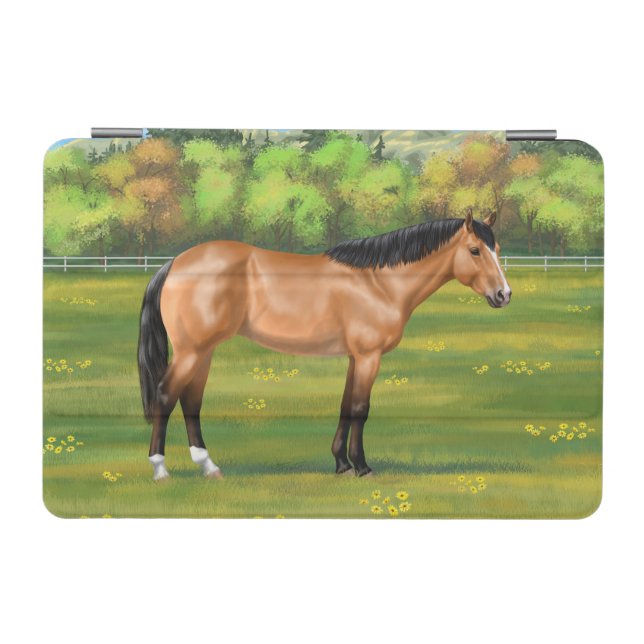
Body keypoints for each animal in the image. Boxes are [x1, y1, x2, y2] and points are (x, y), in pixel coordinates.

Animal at [137, 210, 511, 481]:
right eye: (475, 250)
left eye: (497, 251)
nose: (504, 295)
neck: (378, 282)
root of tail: (175, 263)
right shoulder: (368, 357)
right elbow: (360, 408)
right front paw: (362, 467)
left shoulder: (355, 357)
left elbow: (346, 405)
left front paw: (341, 464)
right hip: (192, 352)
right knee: (166, 396)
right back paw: (160, 469)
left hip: (203, 352)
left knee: (191, 401)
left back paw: (209, 467)